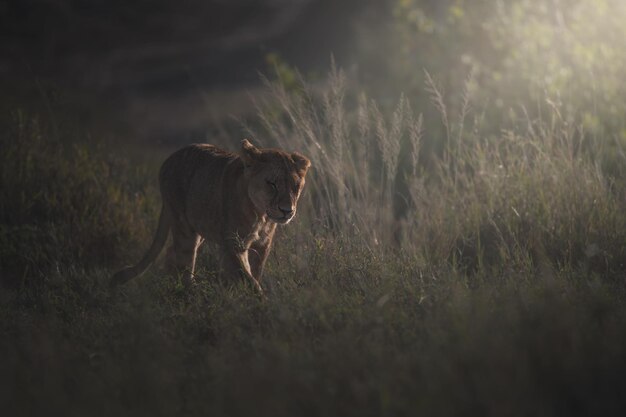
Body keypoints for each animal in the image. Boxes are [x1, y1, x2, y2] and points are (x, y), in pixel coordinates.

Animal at [110, 138, 312, 294]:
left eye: (295, 186)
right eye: (272, 184)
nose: (287, 210)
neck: (261, 216)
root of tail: (168, 160)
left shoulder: (262, 246)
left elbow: (254, 273)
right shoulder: (233, 244)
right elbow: (247, 279)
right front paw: (260, 303)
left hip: (199, 226)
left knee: (171, 253)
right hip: (184, 227)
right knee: (184, 261)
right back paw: (189, 293)